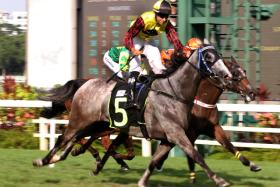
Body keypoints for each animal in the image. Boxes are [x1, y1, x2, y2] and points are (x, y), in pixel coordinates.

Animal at [32, 44, 233, 186]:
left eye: (220, 56)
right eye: (208, 57)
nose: (228, 76)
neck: (174, 92)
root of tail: (84, 84)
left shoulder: (168, 137)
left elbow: (153, 160)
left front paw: (142, 180)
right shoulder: (176, 134)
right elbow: (197, 155)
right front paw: (220, 180)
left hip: (97, 124)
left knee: (76, 139)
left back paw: (64, 157)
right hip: (79, 119)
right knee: (63, 138)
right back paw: (44, 160)